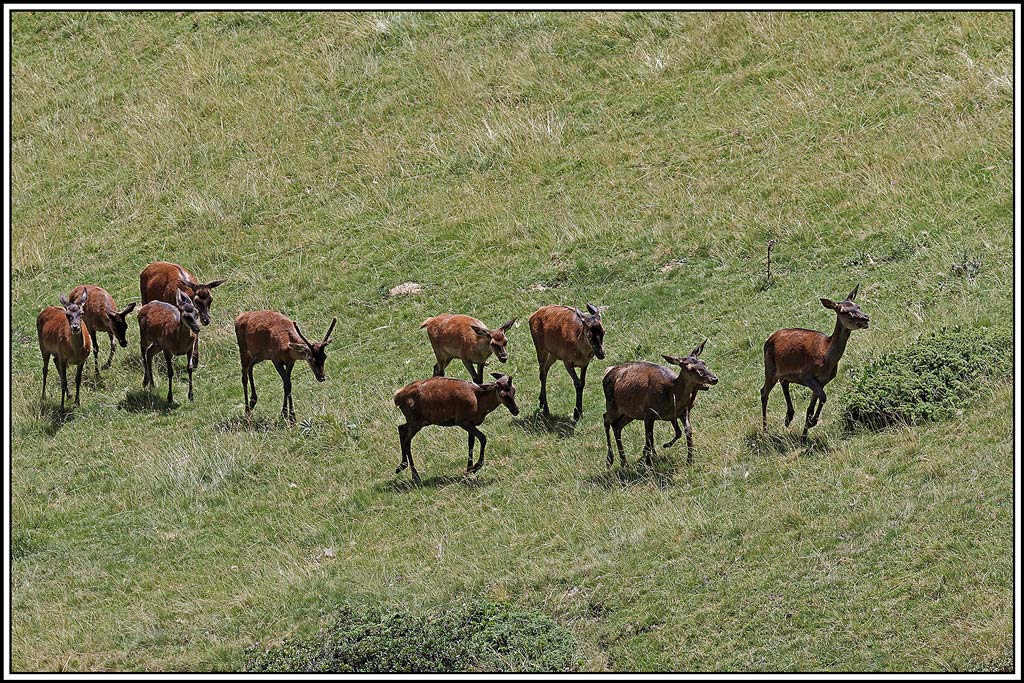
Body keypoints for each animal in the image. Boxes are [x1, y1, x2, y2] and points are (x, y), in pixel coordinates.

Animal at [602, 339, 718, 467]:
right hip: (612, 404)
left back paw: (624, 462)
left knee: (617, 427)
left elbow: (687, 430)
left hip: (629, 413)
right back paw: (609, 460)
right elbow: (649, 439)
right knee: (606, 419)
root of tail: (606, 373)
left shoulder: (681, 412)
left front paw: (690, 460)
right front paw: (648, 463)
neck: (671, 395)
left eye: (703, 362)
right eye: (690, 369)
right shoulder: (648, 413)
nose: (714, 379)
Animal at [760, 284, 870, 442]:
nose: (865, 318)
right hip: (770, 369)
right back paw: (765, 431)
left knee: (784, 382)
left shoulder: (822, 381)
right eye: (844, 311)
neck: (826, 357)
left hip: (785, 373)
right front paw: (812, 424)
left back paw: (788, 418)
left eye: (858, 306)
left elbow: (811, 407)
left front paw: (805, 435)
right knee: (764, 392)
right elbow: (823, 397)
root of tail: (769, 339)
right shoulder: (807, 375)